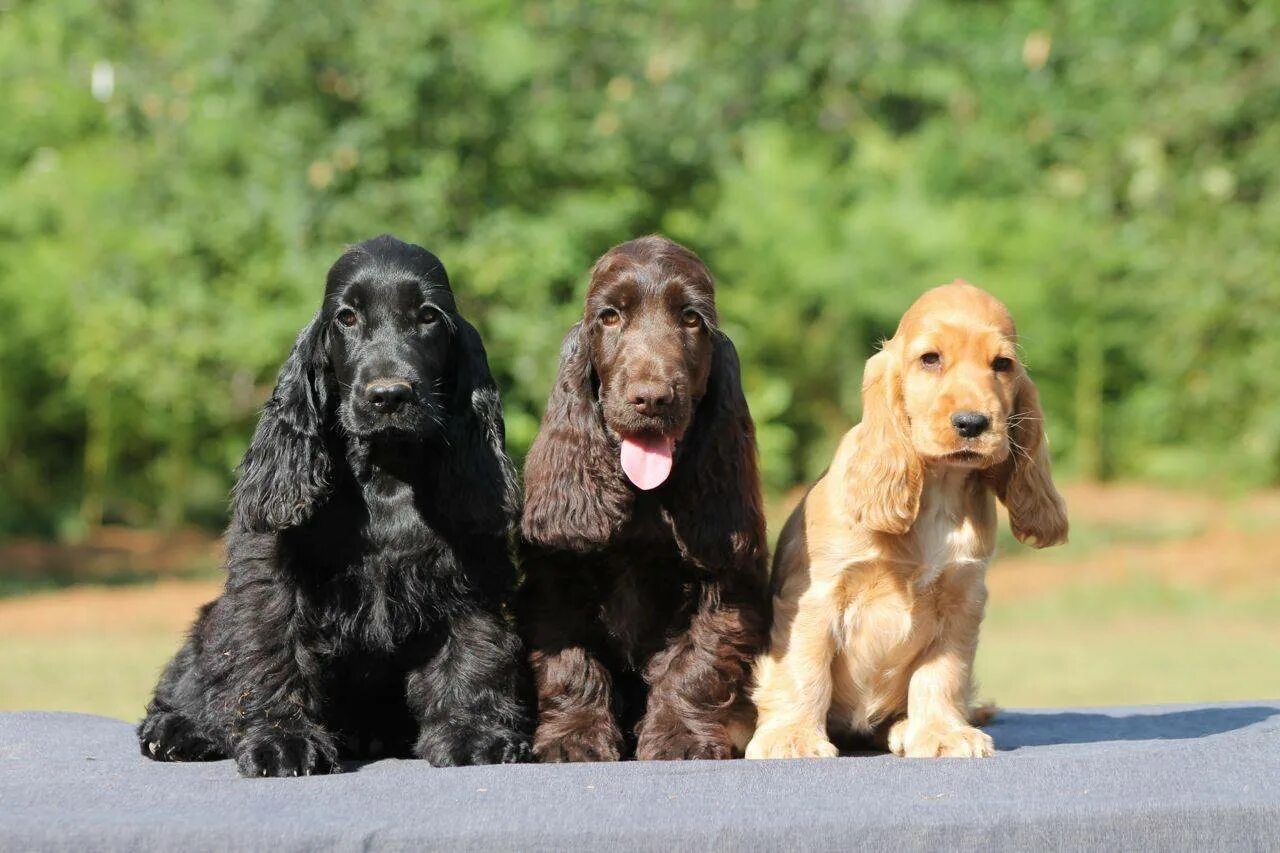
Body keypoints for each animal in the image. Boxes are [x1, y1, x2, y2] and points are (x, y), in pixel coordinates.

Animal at [142, 235, 532, 773]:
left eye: (428, 317)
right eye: (346, 317)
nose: (389, 396)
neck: (384, 472)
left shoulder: (471, 573)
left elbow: (472, 650)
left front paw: (474, 734)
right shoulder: (272, 575)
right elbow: (273, 652)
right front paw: (282, 741)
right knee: (194, 679)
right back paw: (176, 730)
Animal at [747, 279, 1064, 758]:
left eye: (1002, 364)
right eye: (930, 358)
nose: (972, 423)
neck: (937, 490)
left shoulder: (962, 598)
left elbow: (942, 674)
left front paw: (943, 734)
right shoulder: (816, 595)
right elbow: (805, 668)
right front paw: (793, 737)